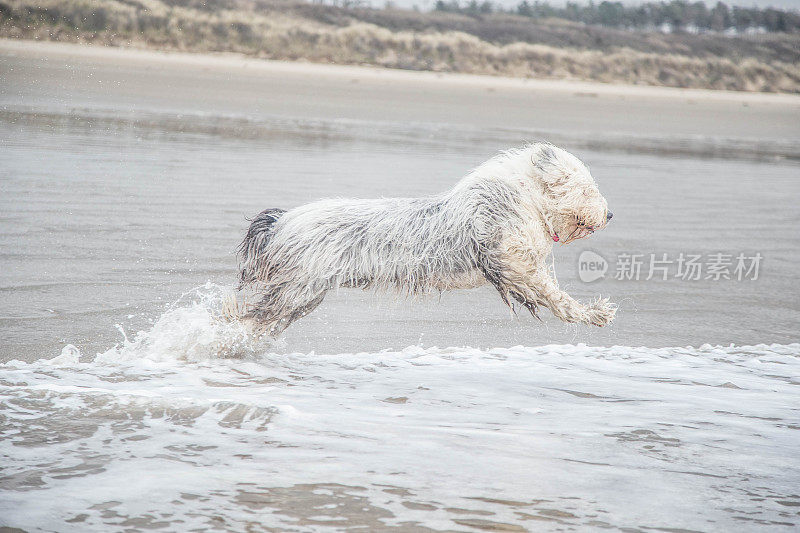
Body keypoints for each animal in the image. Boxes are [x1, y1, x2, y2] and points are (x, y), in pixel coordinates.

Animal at [236, 141, 612, 332]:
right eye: (588, 188)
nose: (609, 215)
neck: (524, 195)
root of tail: (281, 222)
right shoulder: (511, 262)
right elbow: (553, 294)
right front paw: (593, 313)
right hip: (299, 289)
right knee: (249, 316)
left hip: (303, 293)